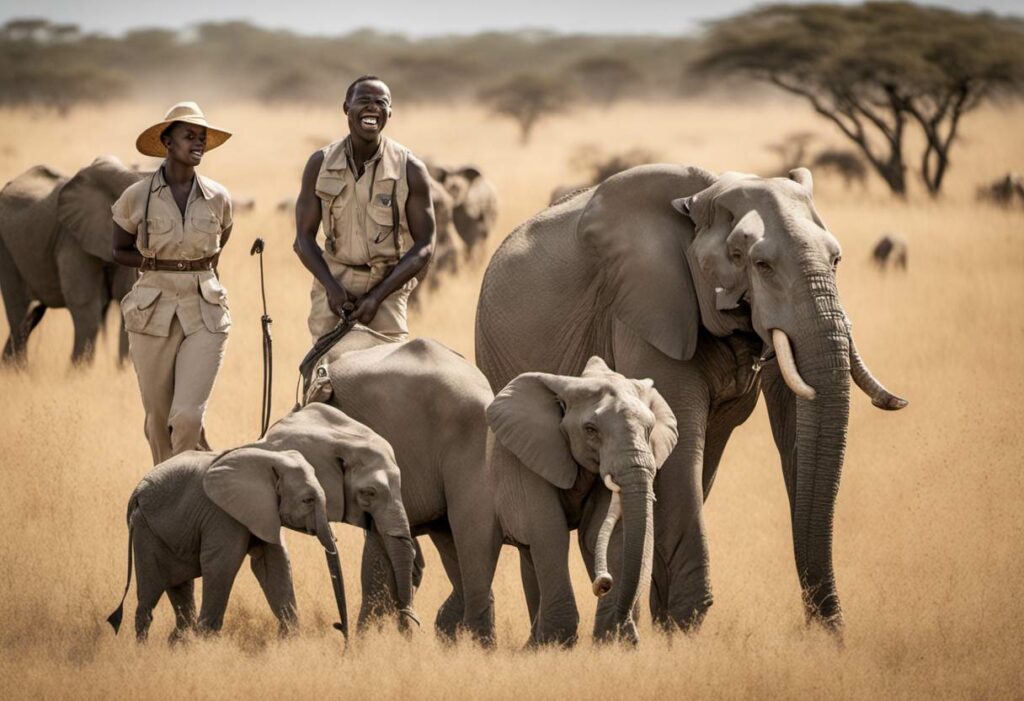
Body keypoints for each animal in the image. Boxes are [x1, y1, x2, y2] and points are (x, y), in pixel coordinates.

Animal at [0, 157, 144, 366]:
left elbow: (122, 296)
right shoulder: (72, 239)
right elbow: (87, 306)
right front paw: (79, 373)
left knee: (31, 315)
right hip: (7, 249)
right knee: (20, 314)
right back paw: (19, 371)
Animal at [112, 446, 335, 642]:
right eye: (308, 500)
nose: (338, 626)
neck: (270, 458)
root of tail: (136, 493)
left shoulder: (264, 511)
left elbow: (274, 564)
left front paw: (288, 642)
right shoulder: (223, 515)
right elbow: (222, 565)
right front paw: (206, 644)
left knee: (180, 592)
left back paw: (177, 645)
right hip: (146, 531)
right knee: (149, 596)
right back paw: (144, 649)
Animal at [487, 358, 679, 642]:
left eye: (649, 428)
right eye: (591, 430)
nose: (603, 584)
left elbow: (602, 534)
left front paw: (612, 642)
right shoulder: (530, 454)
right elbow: (549, 531)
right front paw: (557, 642)